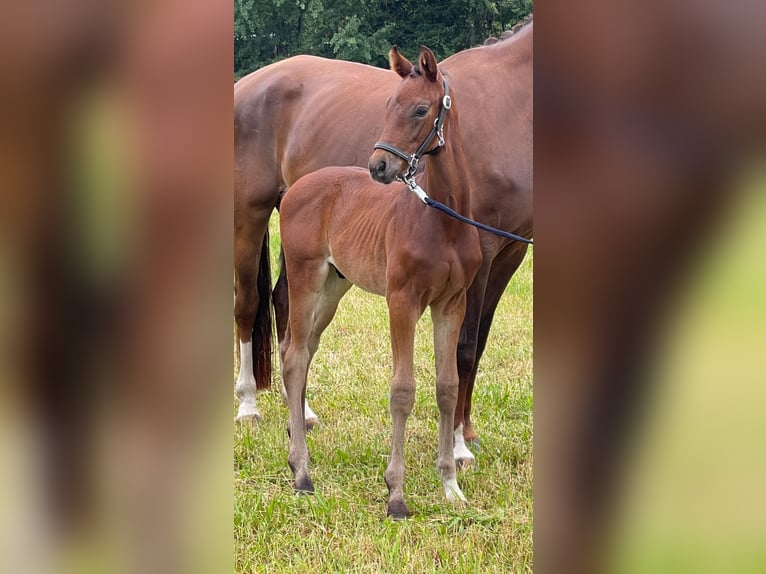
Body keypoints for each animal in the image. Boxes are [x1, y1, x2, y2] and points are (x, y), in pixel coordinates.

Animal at [236, 22, 536, 468]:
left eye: (419, 110)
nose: (378, 166)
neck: (508, 104)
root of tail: (245, 85)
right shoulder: (481, 253)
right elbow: (464, 348)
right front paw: (458, 446)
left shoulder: (509, 254)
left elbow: (477, 345)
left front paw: (466, 433)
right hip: (249, 216)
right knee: (248, 304)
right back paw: (247, 406)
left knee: (287, 311)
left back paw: (301, 413)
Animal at [280, 46, 484, 516]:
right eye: (388, 105)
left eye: (420, 109)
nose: (379, 165)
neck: (443, 221)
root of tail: (294, 188)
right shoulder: (402, 301)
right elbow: (402, 390)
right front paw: (396, 494)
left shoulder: (452, 303)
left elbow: (447, 387)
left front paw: (450, 485)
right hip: (305, 277)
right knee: (295, 355)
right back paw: (302, 474)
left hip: (333, 287)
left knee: (300, 349)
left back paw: (296, 452)